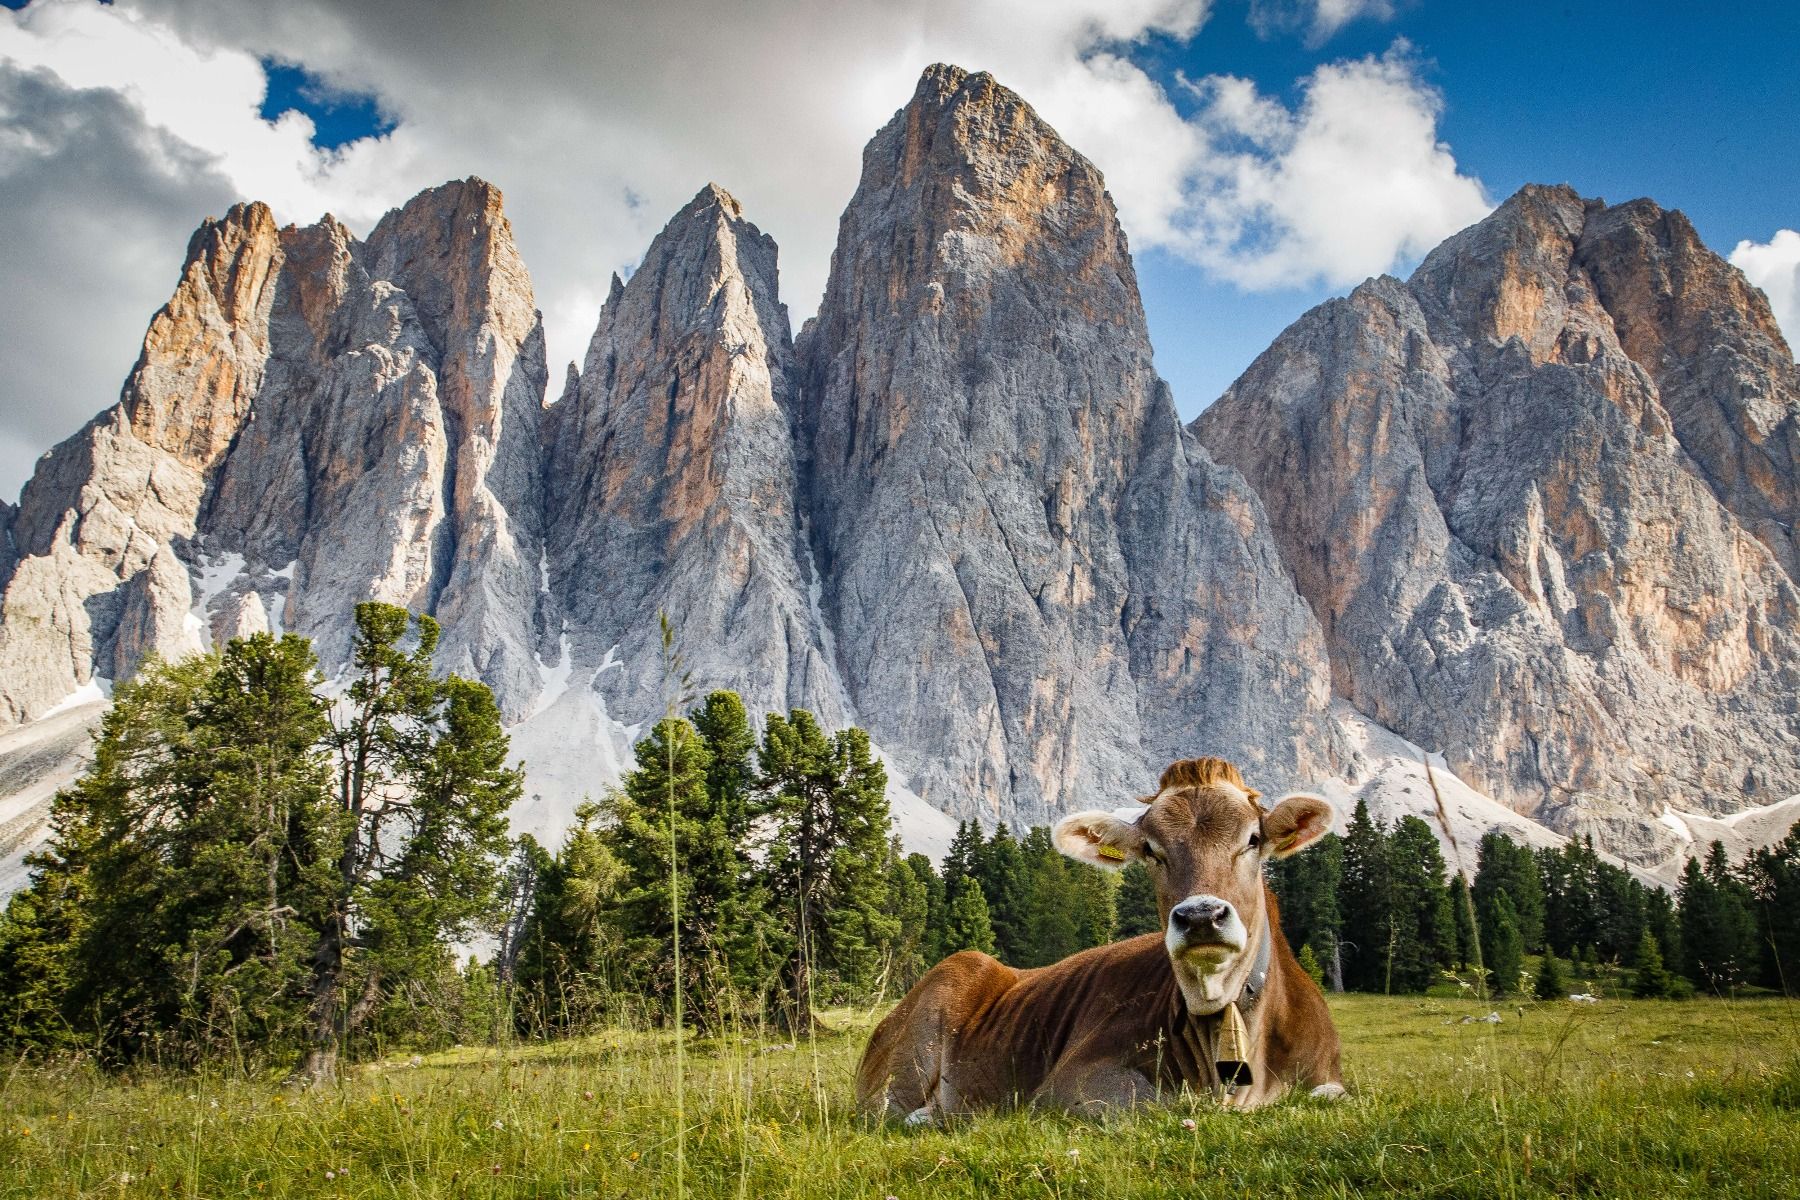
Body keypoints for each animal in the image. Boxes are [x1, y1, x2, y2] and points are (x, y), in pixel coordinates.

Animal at [856, 757, 1344, 1118]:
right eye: (1151, 850)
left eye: (1253, 839)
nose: (1201, 915)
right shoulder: (1067, 1084)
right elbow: (1156, 1104)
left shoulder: (1330, 1077)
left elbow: (1328, 1095)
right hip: (908, 1057)